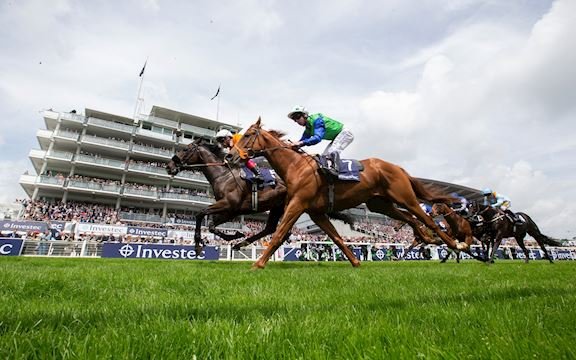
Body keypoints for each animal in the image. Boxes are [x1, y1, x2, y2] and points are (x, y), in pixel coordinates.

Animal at [165, 137, 356, 253]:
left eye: (186, 149)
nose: (169, 166)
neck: (224, 175)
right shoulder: (231, 210)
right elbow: (212, 225)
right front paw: (234, 236)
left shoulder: (228, 204)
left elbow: (200, 214)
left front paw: (198, 245)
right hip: (277, 207)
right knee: (270, 228)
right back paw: (241, 243)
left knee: (280, 230)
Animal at [227, 117, 480, 268]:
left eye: (248, 135)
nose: (230, 155)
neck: (296, 166)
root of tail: (397, 167)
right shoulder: (316, 212)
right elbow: (337, 238)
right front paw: (356, 263)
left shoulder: (298, 204)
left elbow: (279, 233)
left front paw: (258, 263)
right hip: (381, 204)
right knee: (409, 219)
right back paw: (426, 238)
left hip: (404, 197)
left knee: (425, 218)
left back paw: (455, 243)